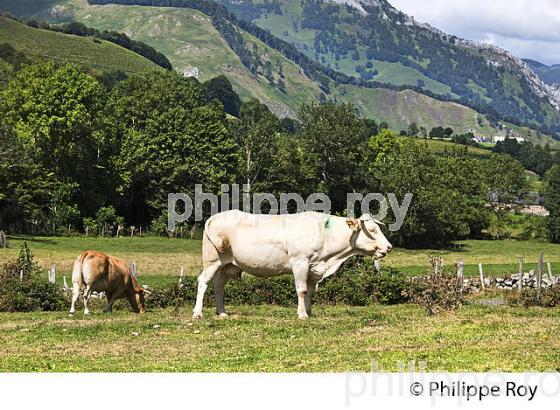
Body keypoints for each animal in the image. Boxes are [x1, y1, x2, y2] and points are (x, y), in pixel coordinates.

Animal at [192, 211, 394, 320]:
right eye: (373, 230)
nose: (389, 247)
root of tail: (215, 217)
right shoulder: (300, 262)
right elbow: (302, 290)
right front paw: (302, 315)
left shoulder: (314, 267)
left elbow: (311, 292)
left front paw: (309, 312)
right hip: (212, 261)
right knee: (203, 282)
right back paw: (197, 313)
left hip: (226, 265)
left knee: (218, 286)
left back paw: (221, 312)